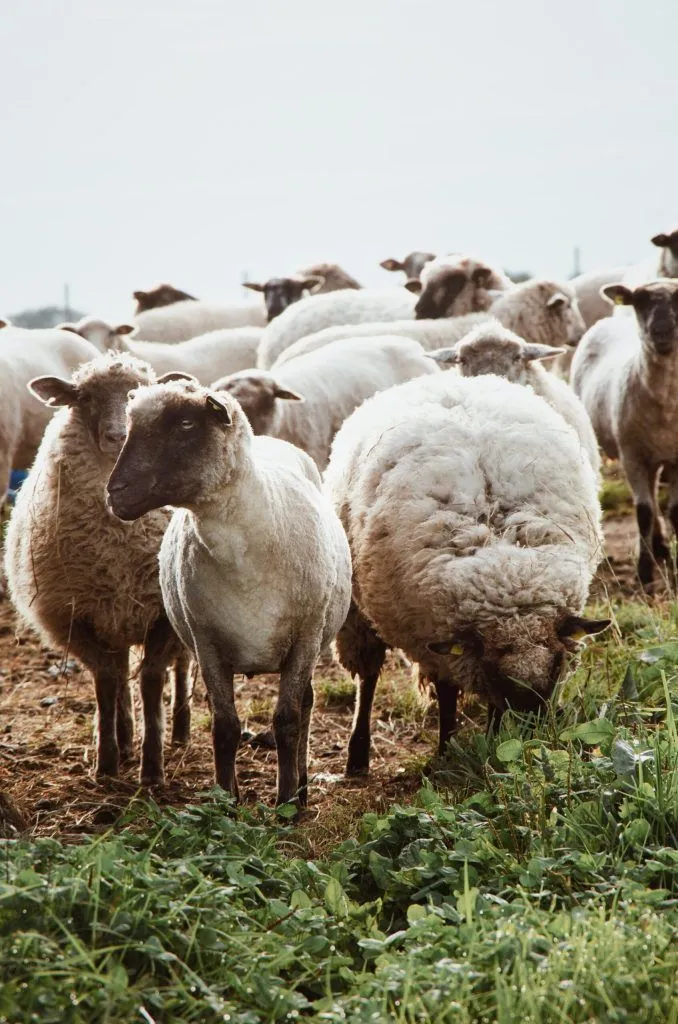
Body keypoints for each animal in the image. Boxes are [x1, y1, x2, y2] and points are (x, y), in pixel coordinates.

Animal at [4, 353, 190, 783]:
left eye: (143, 395)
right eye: (83, 397)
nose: (117, 435)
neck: (117, 541)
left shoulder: (163, 614)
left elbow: (152, 679)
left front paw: (152, 769)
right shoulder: (78, 614)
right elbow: (106, 681)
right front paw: (106, 761)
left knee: (181, 665)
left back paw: (180, 729)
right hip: (112, 615)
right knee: (120, 671)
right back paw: (124, 737)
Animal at [106, 378, 352, 806]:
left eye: (186, 424)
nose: (114, 491)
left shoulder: (305, 637)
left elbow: (287, 719)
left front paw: (287, 802)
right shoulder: (207, 644)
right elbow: (225, 726)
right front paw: (226, 800)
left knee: (305, 705)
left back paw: (302, 788)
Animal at [324, 371, 608, 775]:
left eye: (556, 665)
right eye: (498, 671)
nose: (531, 730)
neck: (507, 566)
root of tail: (450, 379)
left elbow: (489, 706)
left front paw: (493, 745)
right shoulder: (436, 641)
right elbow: (447, 695)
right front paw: (447, 750)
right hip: (356, 613)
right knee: (368, 676)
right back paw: (358, 756)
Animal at [571, 279, 678, 589]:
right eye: (639, 301)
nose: (662, 332)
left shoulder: (676, 457)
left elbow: (675, 510)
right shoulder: (632, 455)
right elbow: (643, 511)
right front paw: (644, 574)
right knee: (650, 500)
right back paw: (658, 549)